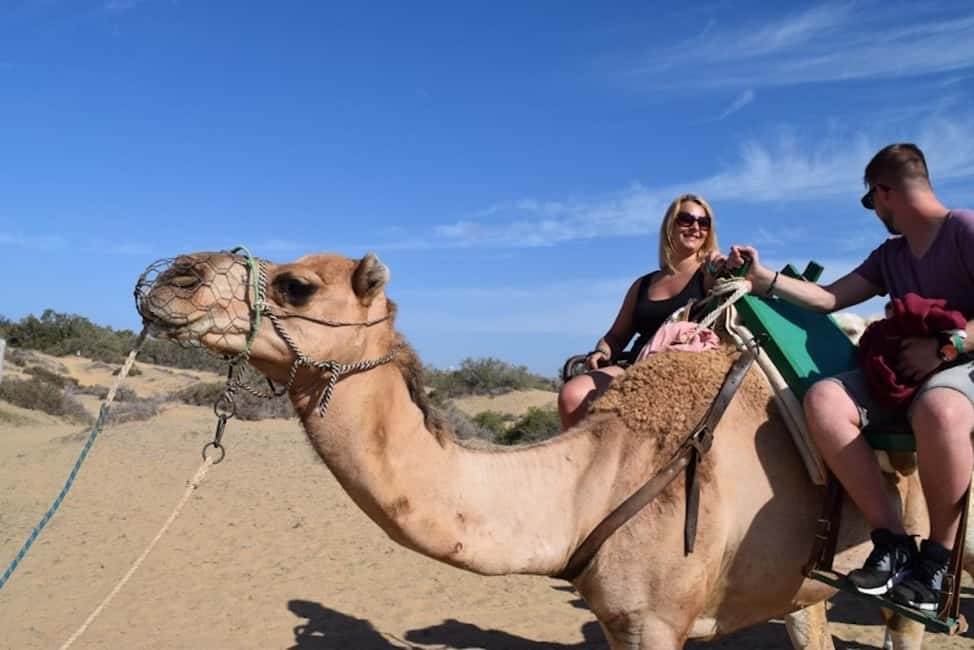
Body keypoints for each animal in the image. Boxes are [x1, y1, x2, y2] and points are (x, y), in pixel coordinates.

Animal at [137, 250, 937, 650]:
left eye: (298, 284)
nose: (170, 277)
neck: (592, 482)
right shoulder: (620, 621)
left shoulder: (658, 624)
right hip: (802, 581)